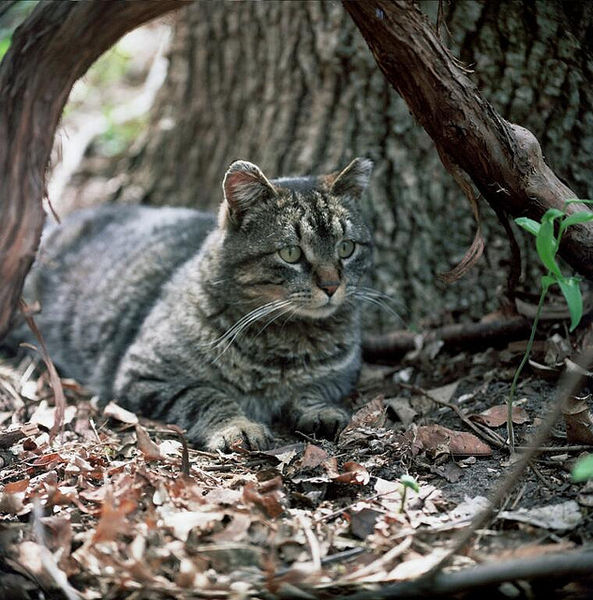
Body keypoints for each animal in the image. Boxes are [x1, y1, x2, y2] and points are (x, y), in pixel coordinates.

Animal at [25, 159, 374, 450]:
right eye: (291, 253)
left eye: (346, 248)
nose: (331, 286)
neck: (285, 339)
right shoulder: (145, 375)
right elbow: (206, 395)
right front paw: (238, 426)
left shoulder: (340, 377)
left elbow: (312, 390)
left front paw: (320, 412)